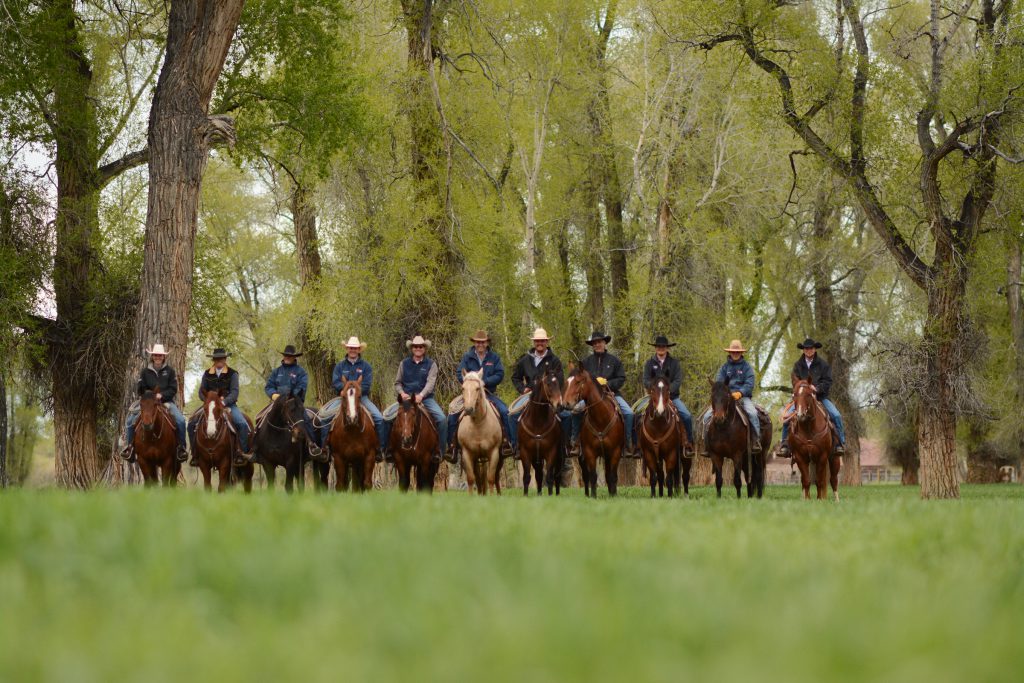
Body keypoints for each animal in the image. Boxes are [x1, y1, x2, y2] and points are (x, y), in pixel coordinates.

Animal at [516, 368, 565, 497]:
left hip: (558, 456)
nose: (559, 405)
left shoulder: (551, 452)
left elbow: (549, 477)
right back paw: (539, 494)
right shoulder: (526, 453)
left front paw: (550, 495)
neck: (537, 422)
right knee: (538, 475)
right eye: (548, 383)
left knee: (557, 476)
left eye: (558, 383)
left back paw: (557, 494)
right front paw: (525, 495)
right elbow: (527, 477)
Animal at [561, 362, 622, 497]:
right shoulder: (589, 452)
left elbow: (613, 476)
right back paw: (587, 494)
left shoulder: (615, 452)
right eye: (567, 382)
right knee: (585, 475)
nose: (566, 404)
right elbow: (593, 476)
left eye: (578, 382)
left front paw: (614, 495)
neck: (601, 419)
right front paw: (593, 496)